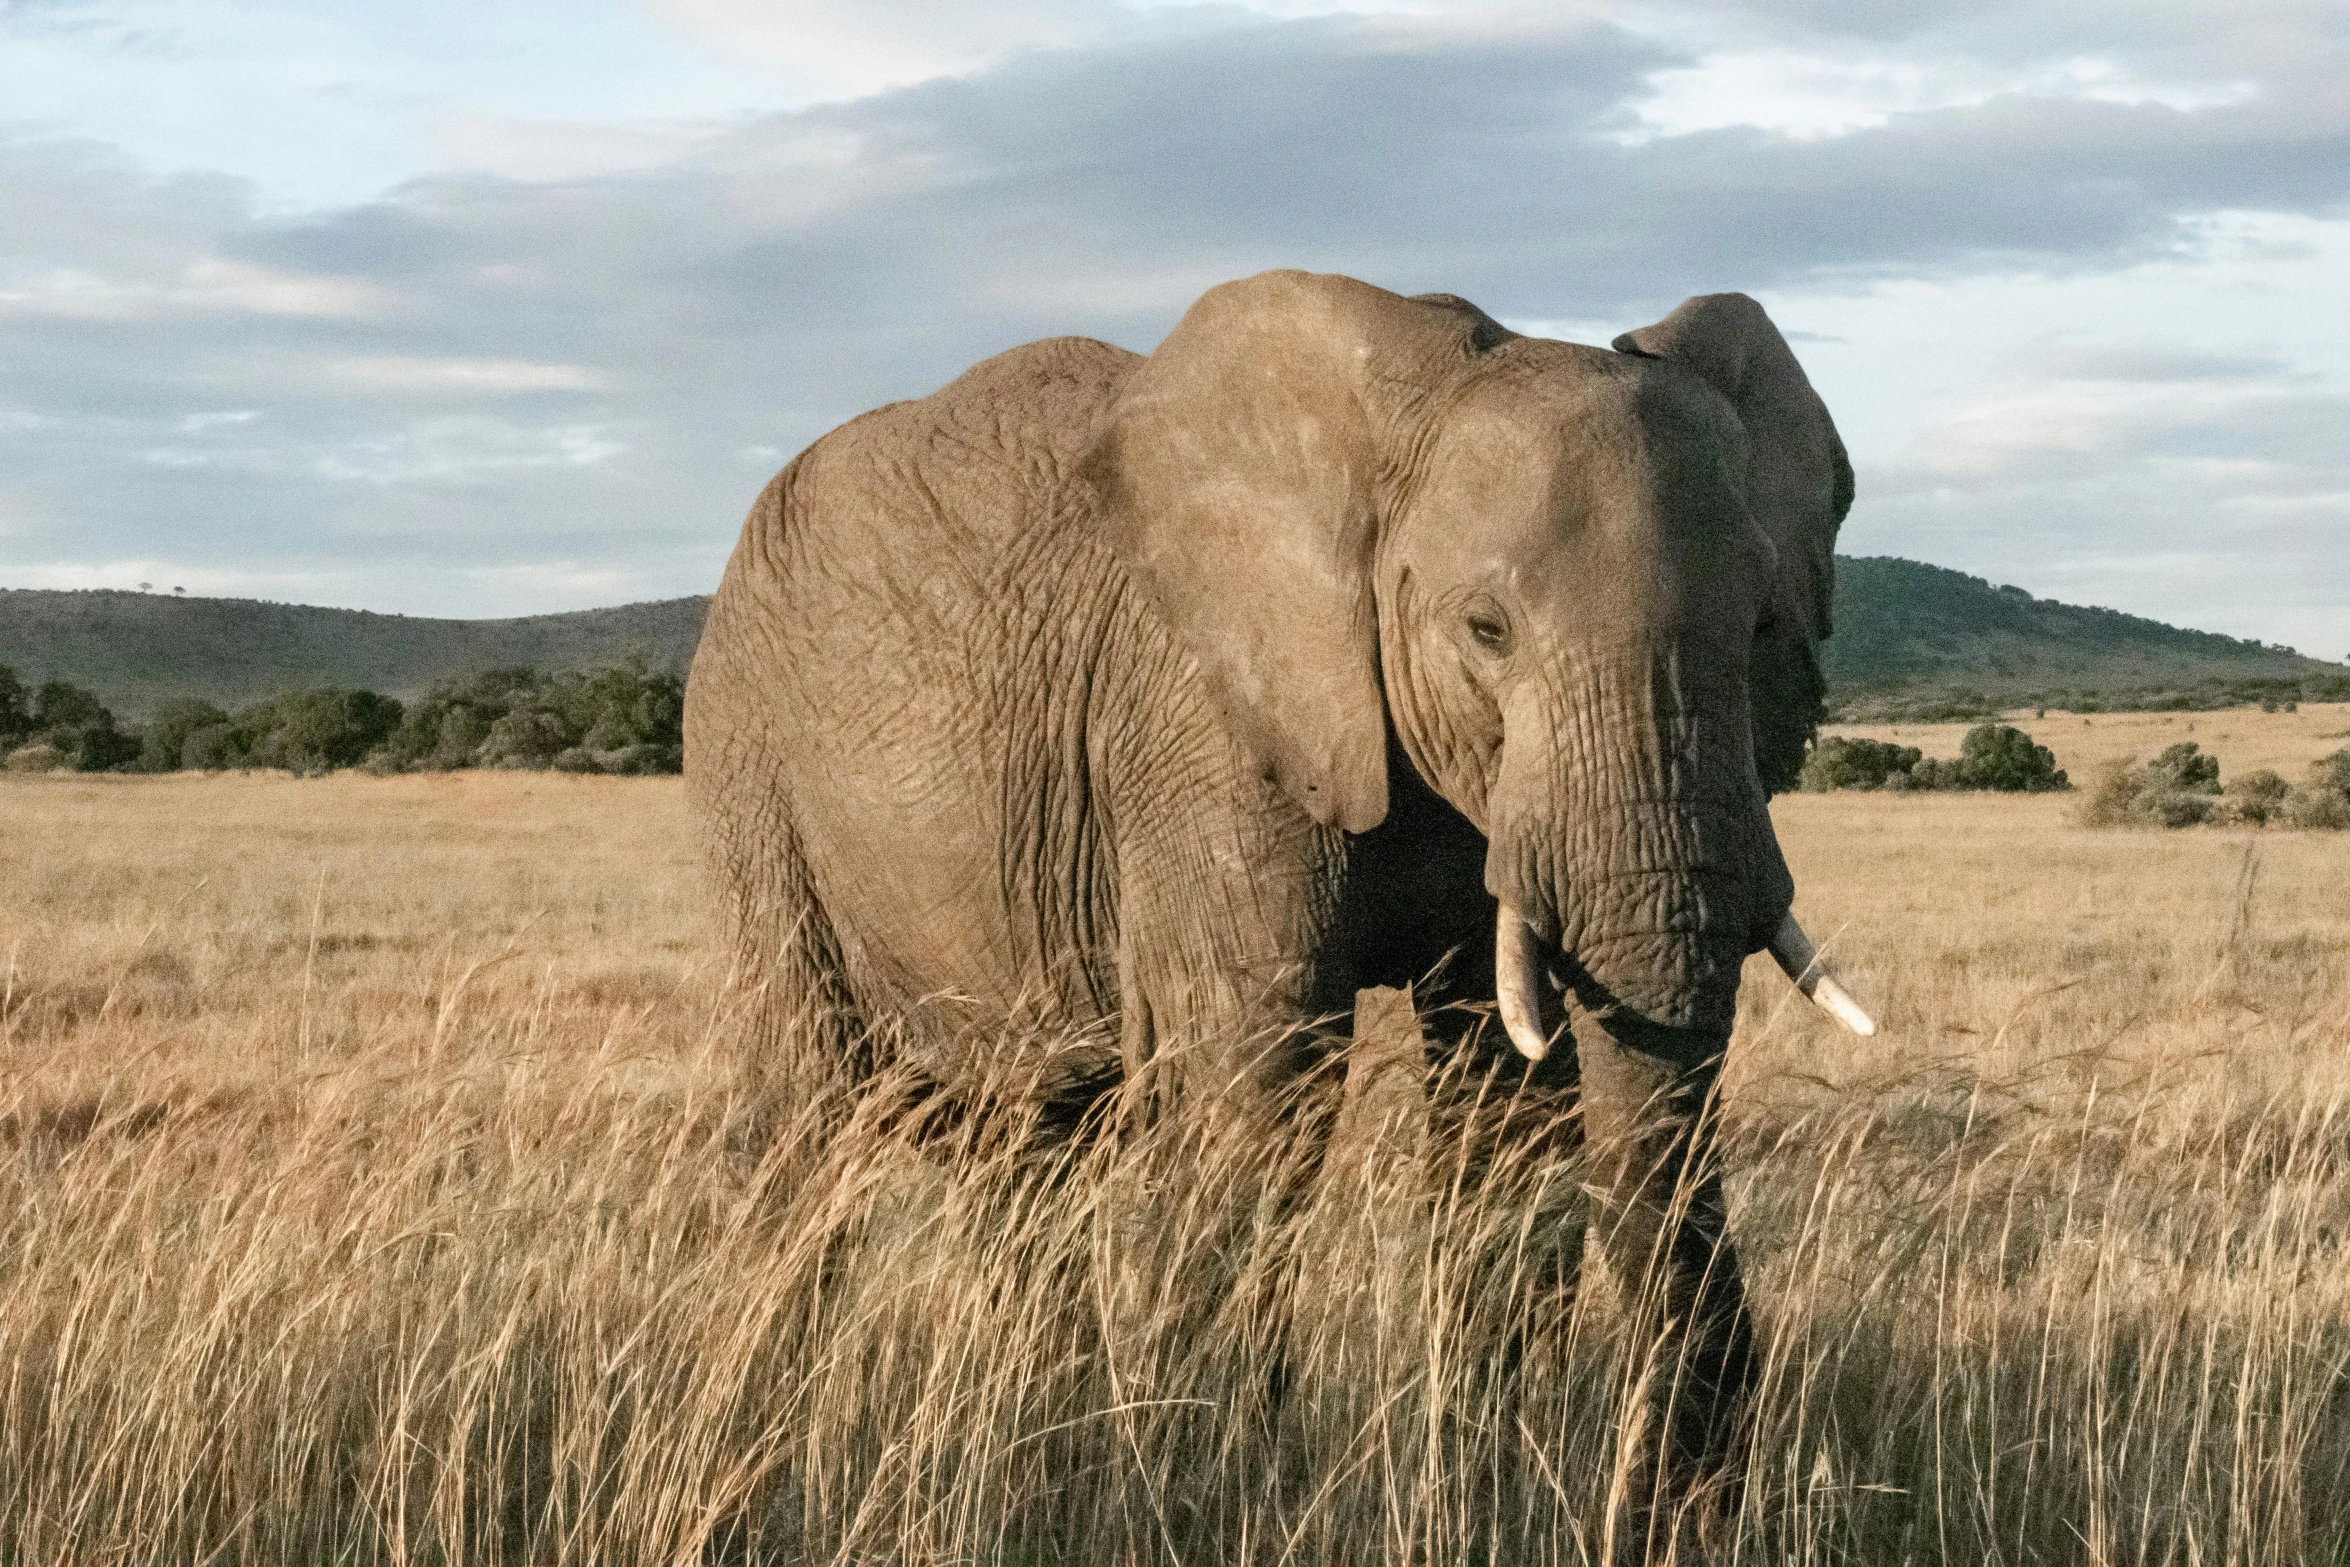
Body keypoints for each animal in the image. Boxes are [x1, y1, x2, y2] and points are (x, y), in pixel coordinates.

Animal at [686, 270, 1870, 1559]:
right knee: (800, 1124)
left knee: (1034, 1153)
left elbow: (1505, 1106)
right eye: (1486, 629)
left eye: (1763, 630)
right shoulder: (1203, 723)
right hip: (748, 762)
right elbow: (1255, 1089)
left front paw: (1476, 1494)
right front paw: (1208, 1507)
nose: (1687, 1513)